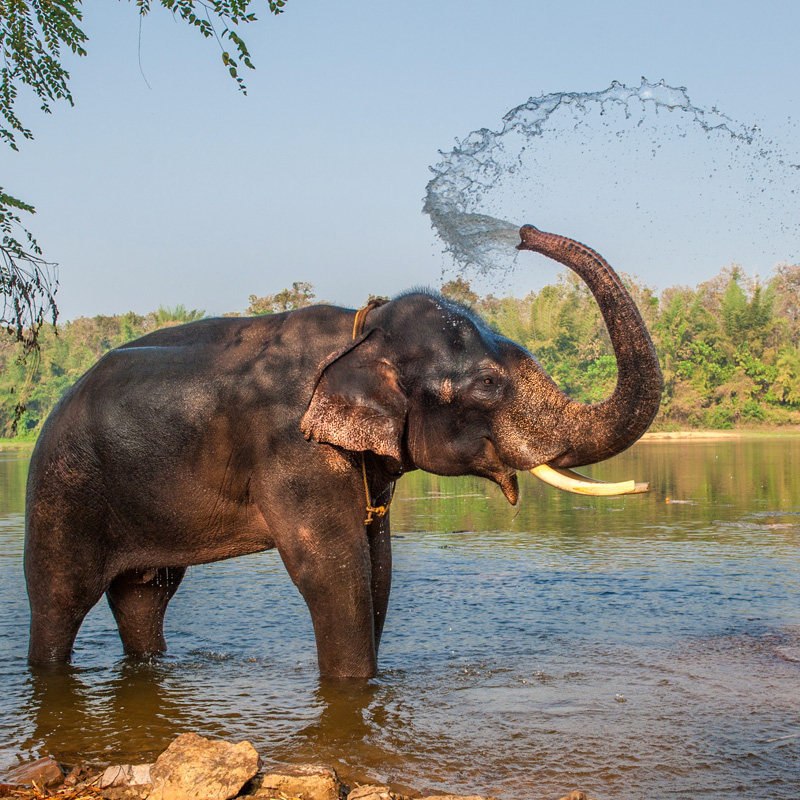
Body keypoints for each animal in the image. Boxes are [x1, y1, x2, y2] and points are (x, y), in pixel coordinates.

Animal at [24, 224, 662, 678]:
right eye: (486, 383)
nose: (524, 232)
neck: (363, 330)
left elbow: (378, 566)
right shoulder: (292, 448)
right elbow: (333, 569)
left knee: (143, 596)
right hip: (63, 487)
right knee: (59, 598)